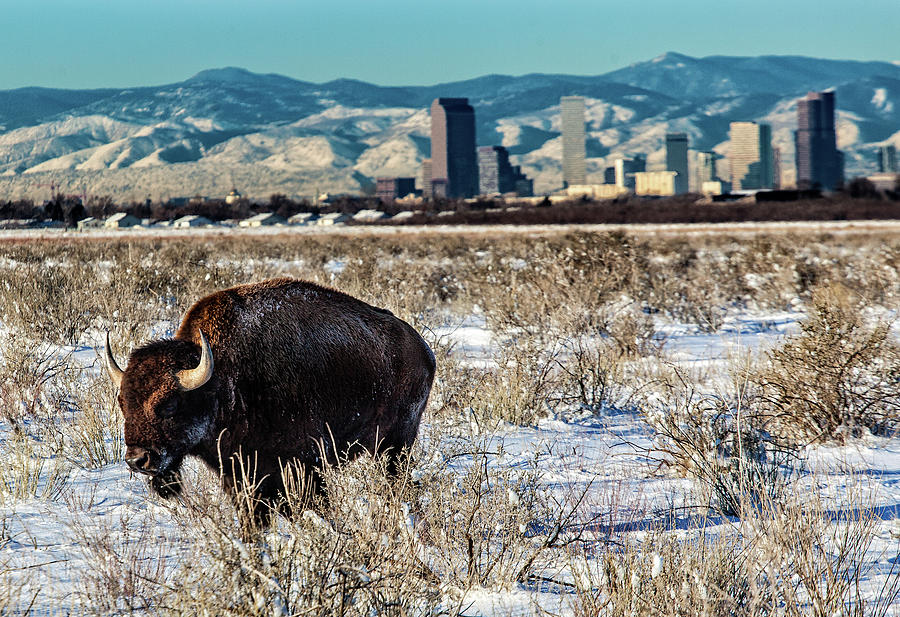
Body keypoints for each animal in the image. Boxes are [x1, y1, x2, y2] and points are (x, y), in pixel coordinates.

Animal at [105, 276, 436, 524]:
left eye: (169, 403)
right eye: (123, 403)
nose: (137, 460)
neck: (225, 379)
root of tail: (422, 348)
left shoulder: (303, 469)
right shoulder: (242, 478)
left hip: (395, 443)